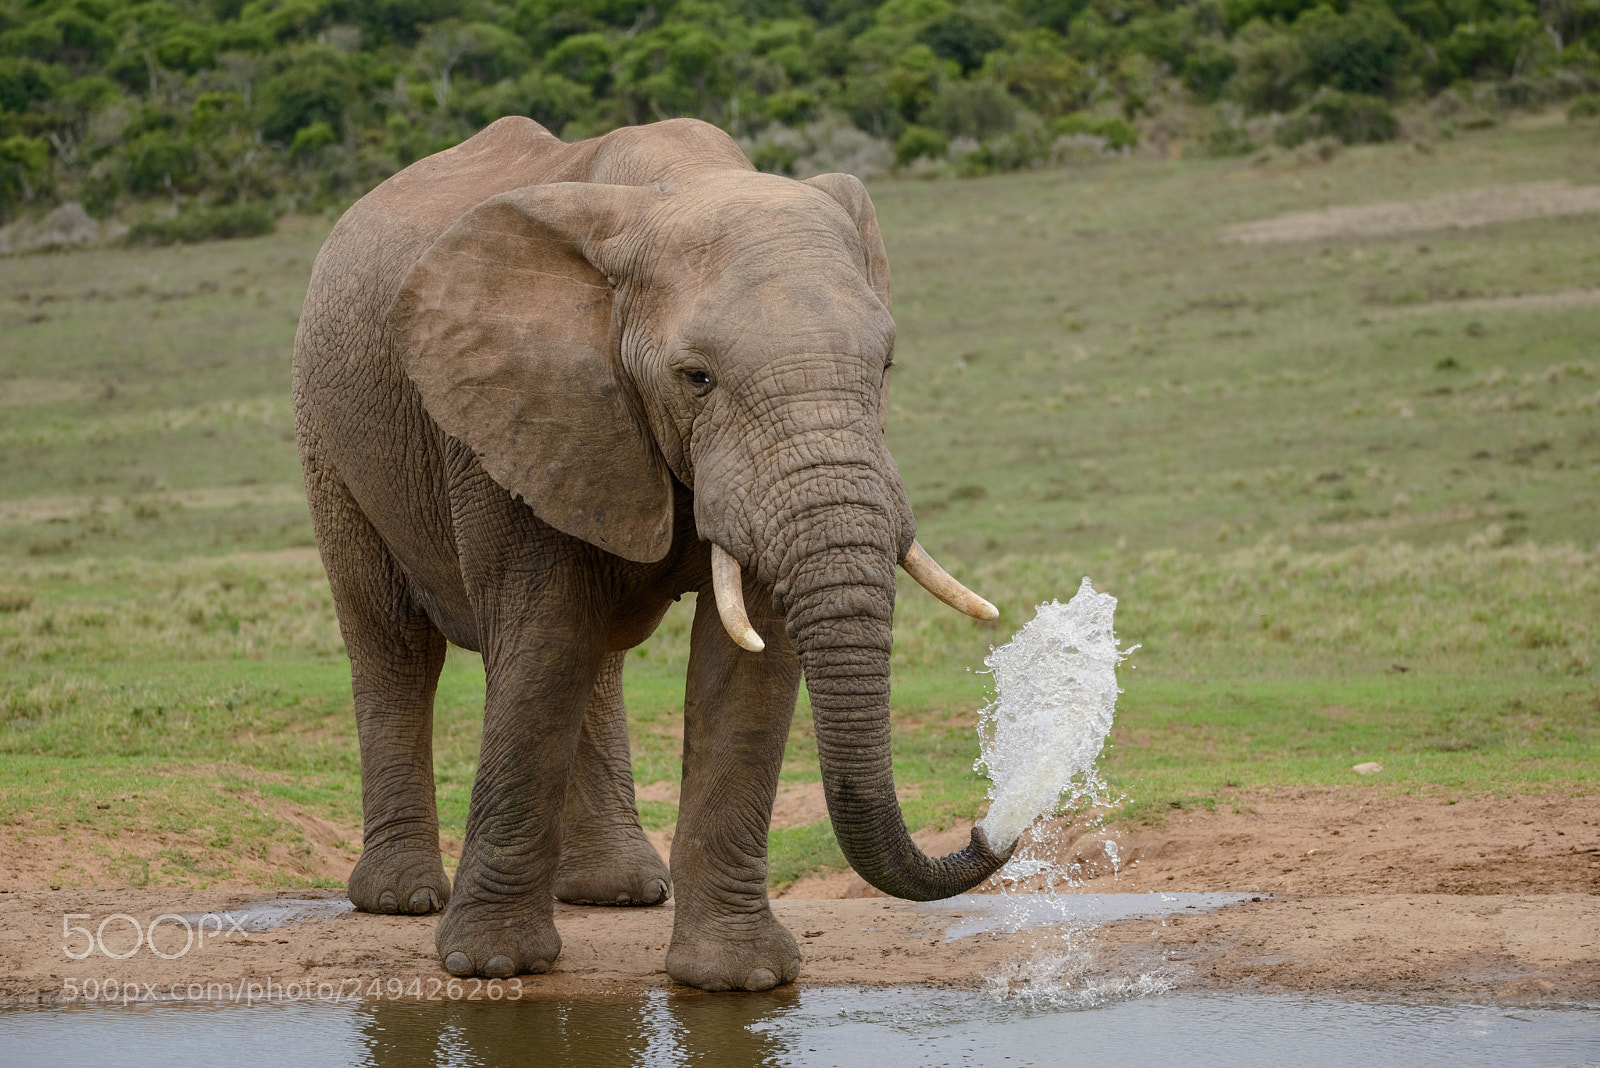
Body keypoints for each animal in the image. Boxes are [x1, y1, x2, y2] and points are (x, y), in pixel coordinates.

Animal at [291, 115, 1009, 992]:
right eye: (696, 378)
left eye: (885, 367)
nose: (987, 830)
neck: (675, 184)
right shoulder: (516, 410)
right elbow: (543, 638)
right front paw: (489, 966)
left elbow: (748, 664)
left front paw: (737, 979)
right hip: (328, 433)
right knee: (396, 644)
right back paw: (402, 900)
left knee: (591, 659)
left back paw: (619, 892)